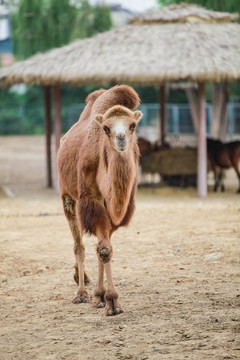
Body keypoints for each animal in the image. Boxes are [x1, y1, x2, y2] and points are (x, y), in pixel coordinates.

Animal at [57, 84, 142, 316]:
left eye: (132, 126)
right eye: (105, 128)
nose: (121, 138)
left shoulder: (116, 209)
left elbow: (105, 248)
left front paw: (105, 297)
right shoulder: (90, 199)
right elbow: (102, 248)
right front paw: (108, 299)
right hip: (67, 196)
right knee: (78, 245)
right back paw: (81, 292)